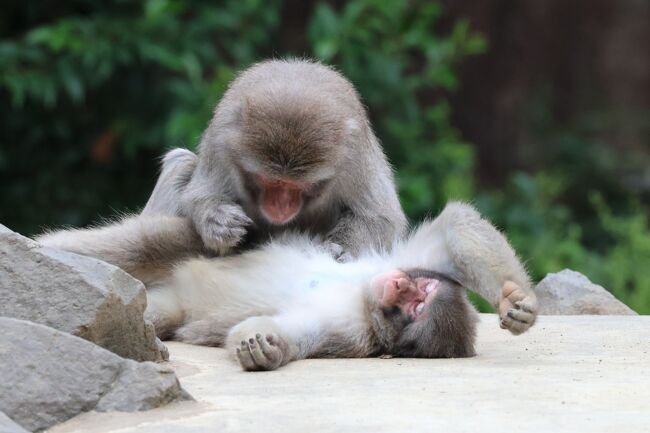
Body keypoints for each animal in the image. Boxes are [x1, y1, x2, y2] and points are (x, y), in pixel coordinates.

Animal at [39, 201, 536, 370]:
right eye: (420, 291)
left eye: (416, 308)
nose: (398, 287)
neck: (361, 298)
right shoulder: (386, 261)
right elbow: (453, 228)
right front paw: (515, 300)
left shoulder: (348, 335)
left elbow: (296, 332)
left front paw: (264, 346)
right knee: (147, 245)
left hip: (171, 306)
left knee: (149, 307)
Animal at [142, 58, 404, 258]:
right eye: (271, 180)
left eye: (299, 186)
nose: (281, 206)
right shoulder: (221, 140)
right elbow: (200, 194)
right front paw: (217, 220)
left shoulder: (355, 155)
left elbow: (380, 217)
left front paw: (340, 249)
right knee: (183, 162)